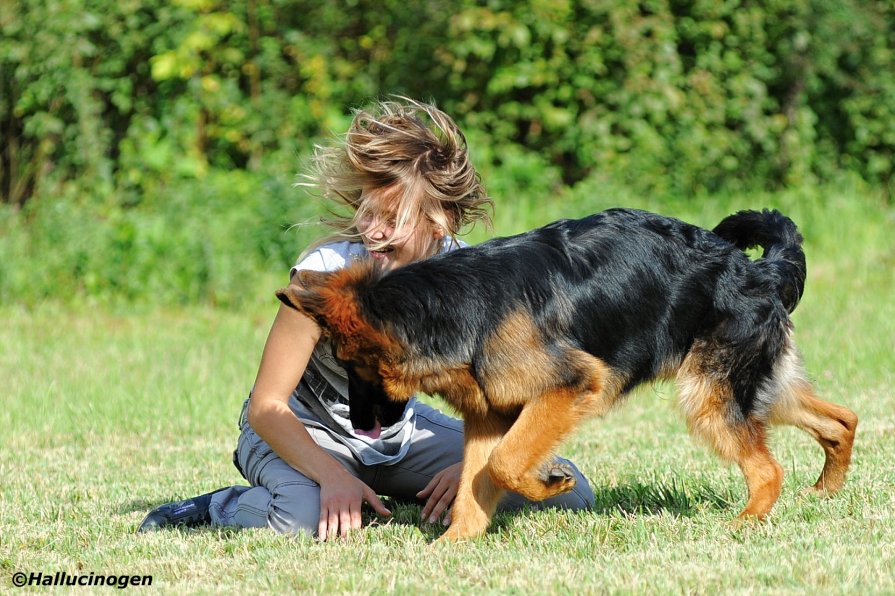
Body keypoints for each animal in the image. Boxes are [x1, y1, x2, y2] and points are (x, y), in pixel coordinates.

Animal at [274, 208, 860, 540]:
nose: (361, 427)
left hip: (709, 395)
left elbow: (506, 465)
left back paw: (742, 525)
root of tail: (755, 269)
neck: (453, 309)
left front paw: (551, 481)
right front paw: (454, 546)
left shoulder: (570, 386)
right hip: (757, 388)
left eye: (353, 366)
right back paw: (824, 493)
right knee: (842, 420)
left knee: (768, 469)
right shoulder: (490, 416)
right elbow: (476, 483)